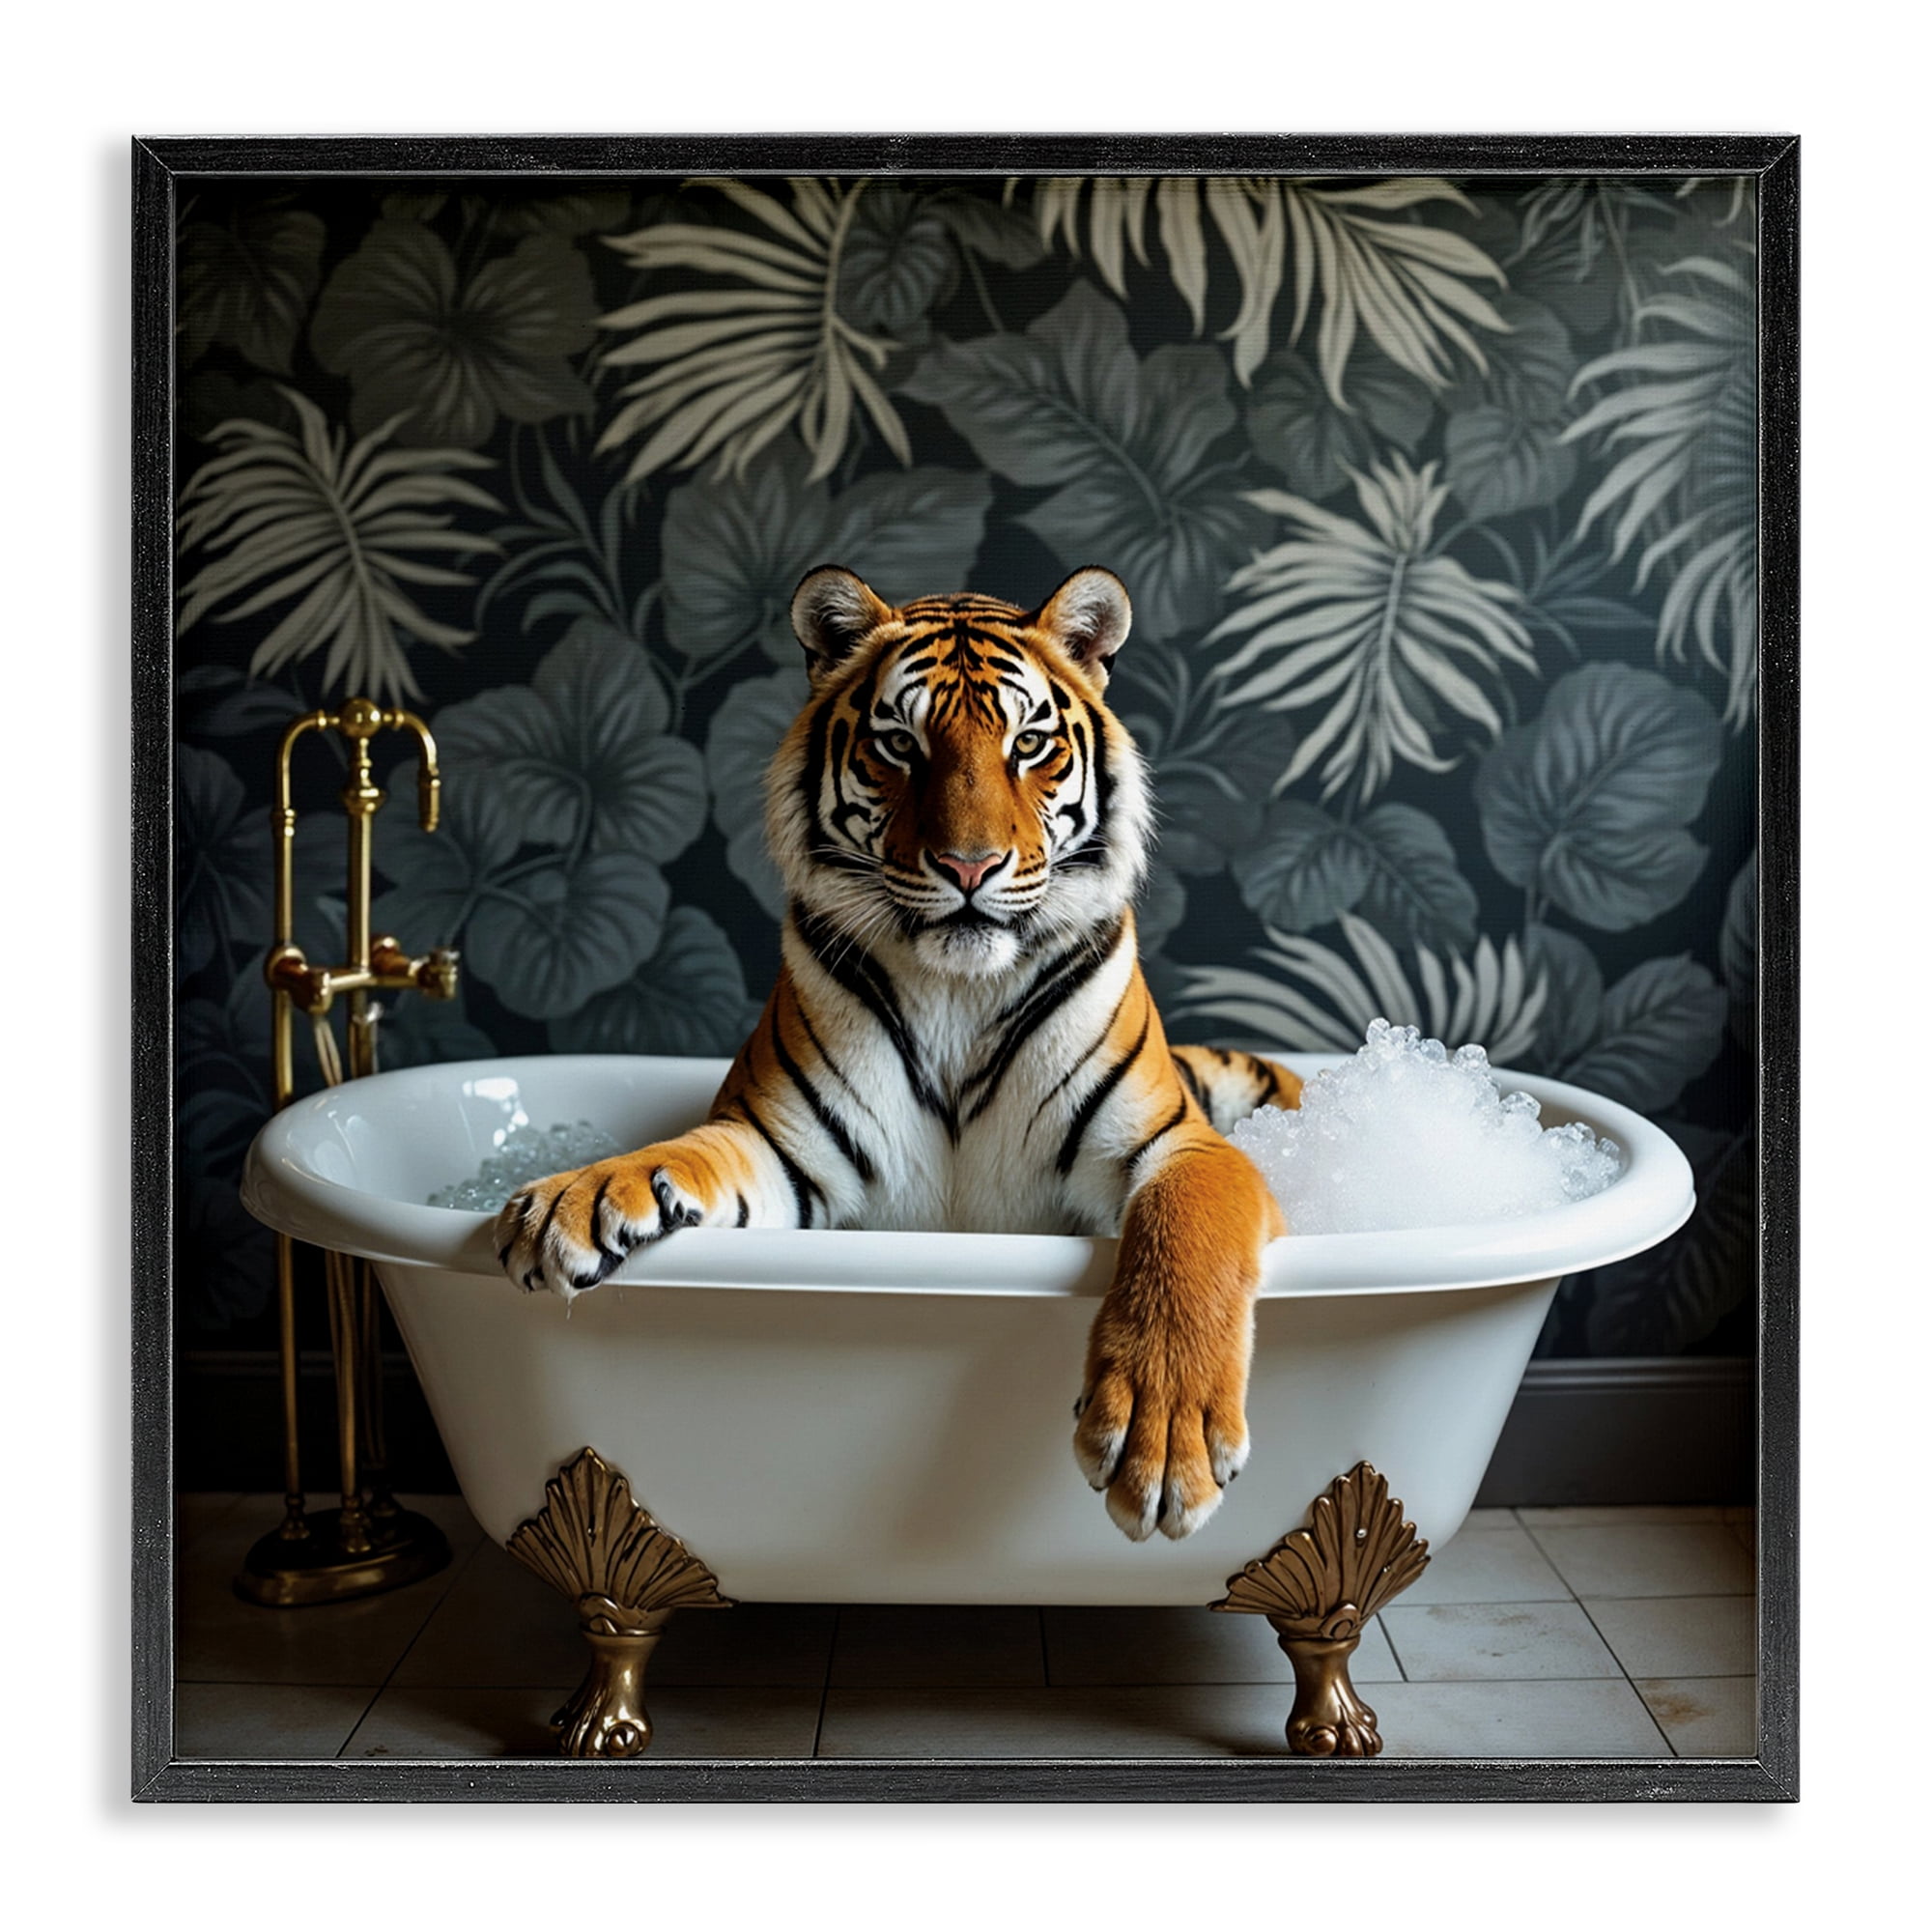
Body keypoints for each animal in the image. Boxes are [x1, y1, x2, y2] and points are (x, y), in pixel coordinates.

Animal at [494, 564, 1302, 1542]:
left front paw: (1163, 1436)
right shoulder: (781, 1146)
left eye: (1030, 744)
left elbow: (1184, 1237)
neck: (959, 990)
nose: (969, 866)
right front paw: (573, 1199)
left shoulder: (1179, 1145)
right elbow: (681, 1154)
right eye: (900, 745)